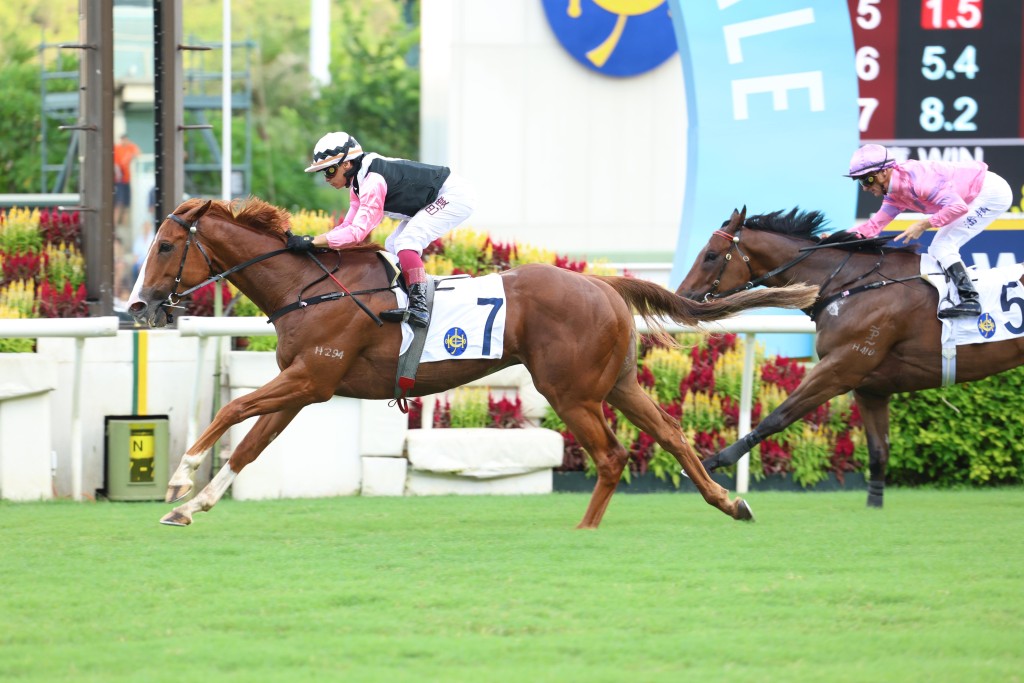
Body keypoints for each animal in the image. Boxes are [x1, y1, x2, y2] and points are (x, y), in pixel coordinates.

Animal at [130, 197, 815, 528]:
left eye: (164, 245)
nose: (138, 305)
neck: (311, 286)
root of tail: (603, 283)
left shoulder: (310, 377)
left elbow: (233, 410)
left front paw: (179, 478)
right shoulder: (303, 385)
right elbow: (249, 445)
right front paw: (190, 506)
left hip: (570, 391)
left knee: (613, 455)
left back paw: (585, 532)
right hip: (617, 383)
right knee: (671, 434)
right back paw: (730, 502)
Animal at [675, 208, 1024, 507]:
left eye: (710, 255)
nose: (682, 298)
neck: (853, 285)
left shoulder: (840, 368)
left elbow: (777, 417)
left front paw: (710, 462)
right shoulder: (870, 387)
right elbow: (878, 451)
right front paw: (874, 505)